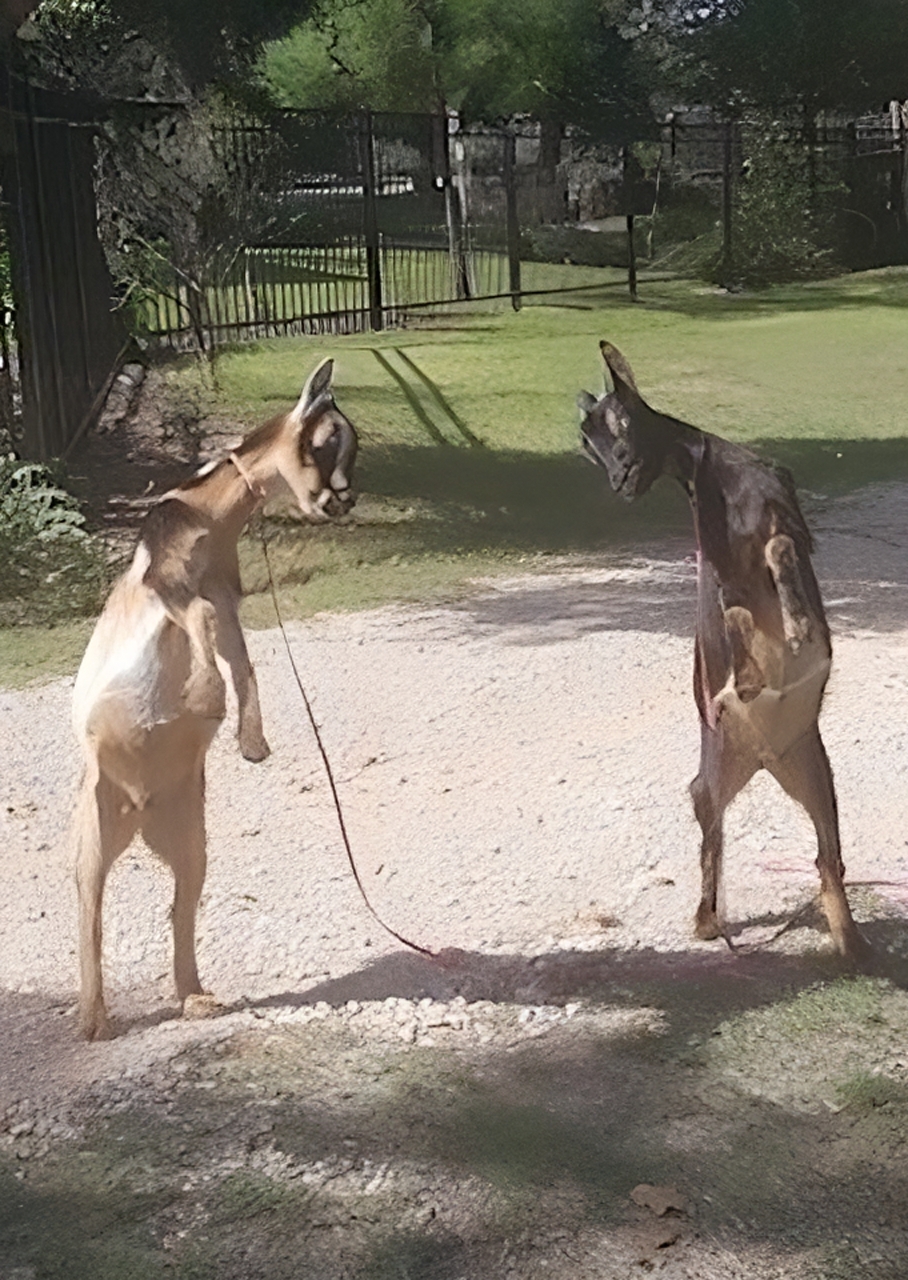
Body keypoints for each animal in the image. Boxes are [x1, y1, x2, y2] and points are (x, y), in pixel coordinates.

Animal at [72, 358, 358, 1039]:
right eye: (326, 440)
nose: (344, 498)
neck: (209, 512)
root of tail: (141, 810)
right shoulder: (168, 580)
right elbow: (201, 623)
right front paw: (203, 701)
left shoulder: (227, 596)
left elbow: (243, 658)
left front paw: (251, 741)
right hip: (91, 827)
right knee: (91, 907)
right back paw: (93, 1018)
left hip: (192, 839)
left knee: (181, 904)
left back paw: (195, 996)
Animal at [579, 341, 867, 960]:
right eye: (586, 443)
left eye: (619, 424)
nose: (618, 481)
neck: (713, 479)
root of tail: (763, 759)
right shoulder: (722, 574)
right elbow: (731, 614)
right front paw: (758, 669)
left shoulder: (789, 527)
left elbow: (780, 550)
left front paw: (800, 627)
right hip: (707, 784)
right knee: (715, 839)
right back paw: (708, 921)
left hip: (818, 772)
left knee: (827, 858)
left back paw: (851, 940)